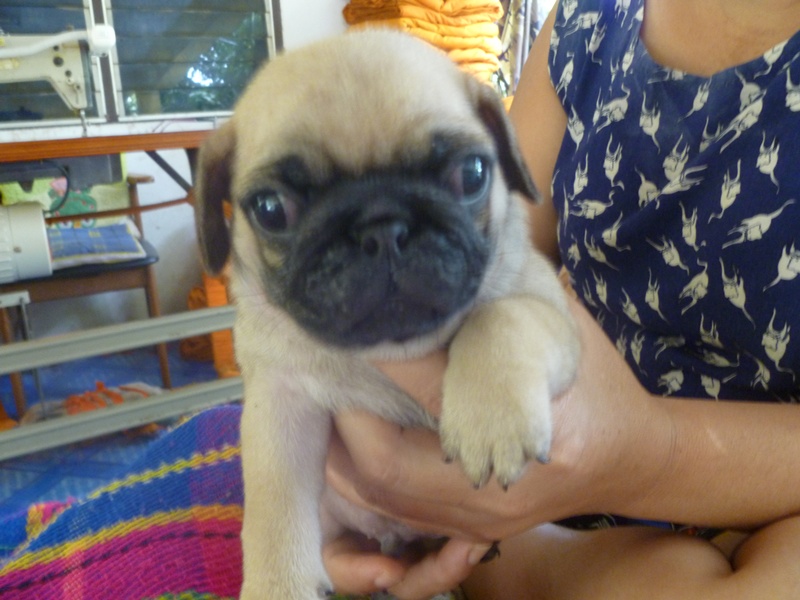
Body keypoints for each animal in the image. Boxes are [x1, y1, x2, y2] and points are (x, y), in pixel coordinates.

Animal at [194, 28, 580, 600]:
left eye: (472, 175)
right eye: (270, 209)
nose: (382, 226)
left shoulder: (554, 316)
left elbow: (502, 318)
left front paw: (493, 419)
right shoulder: (280, 402)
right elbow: (273, 510)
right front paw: (276, 583)